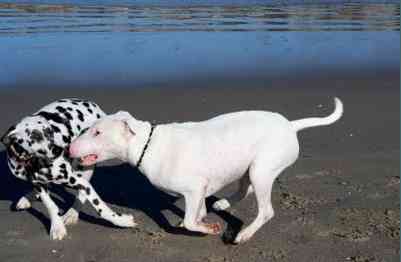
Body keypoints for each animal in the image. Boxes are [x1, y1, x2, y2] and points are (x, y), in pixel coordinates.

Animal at [0, 99, 136, 241]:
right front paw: (57, 226)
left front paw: (122, 221)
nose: (64, 150)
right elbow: (50, 205)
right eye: (35, 136)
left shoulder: (80, 182)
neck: (35, 163)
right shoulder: (38, 184)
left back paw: (72, 214)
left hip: (86, 167)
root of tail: (92, 105)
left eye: (50, 132)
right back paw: (28, 198)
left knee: (81, 194)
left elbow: (100, 207)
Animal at [69, 97, 344, 245]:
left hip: (261, 169)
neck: (147, 143)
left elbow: (192, 222)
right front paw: (200, 219)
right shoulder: (198, 191)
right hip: (249, 167)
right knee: (245, 189)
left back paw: (244, 234)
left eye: (97, 132)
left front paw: (207, 228)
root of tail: (290, 126)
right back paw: (223, 204)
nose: (70, 147)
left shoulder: (193, 188)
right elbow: (195, 214)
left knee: (266, 210)